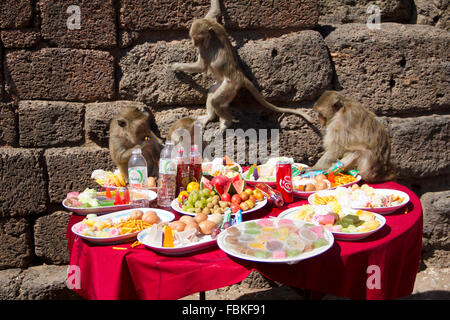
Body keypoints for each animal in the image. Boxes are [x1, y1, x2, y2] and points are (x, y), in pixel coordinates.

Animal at [169, 0, 312, 134]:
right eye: (192, 38)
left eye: (198, 40)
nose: (194, 44)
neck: (211, 31)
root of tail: (240, 75)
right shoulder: (209, 19)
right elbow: (215, 11)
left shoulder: (204, 48)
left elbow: (201, 67)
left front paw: (176, 66)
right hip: (226, 85)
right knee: (212, 91)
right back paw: (210, 116)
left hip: (232, 86)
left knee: (216, 101)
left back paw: (227, 122)